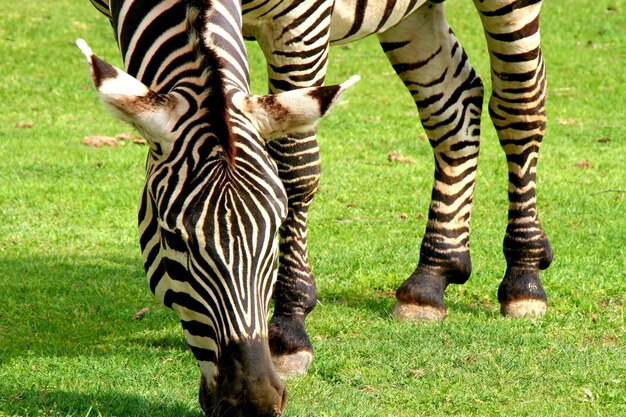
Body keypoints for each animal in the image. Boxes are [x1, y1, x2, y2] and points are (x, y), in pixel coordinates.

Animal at [80, 0, 358, 412]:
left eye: (276, 230)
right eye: (174, 239)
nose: (255, 403)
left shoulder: (303, 21)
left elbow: (298, 167)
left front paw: (290, 334)